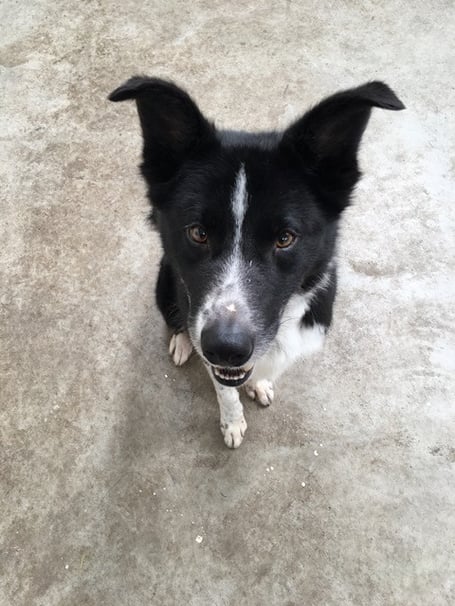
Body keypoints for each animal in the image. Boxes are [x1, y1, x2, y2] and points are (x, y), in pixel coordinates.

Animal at [109, 77, 404, 448]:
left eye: (285, 238)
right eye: (198, 233)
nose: (225, 349)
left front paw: (258, 384)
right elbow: (225, 392)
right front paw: (232, 422)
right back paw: (181, 341)